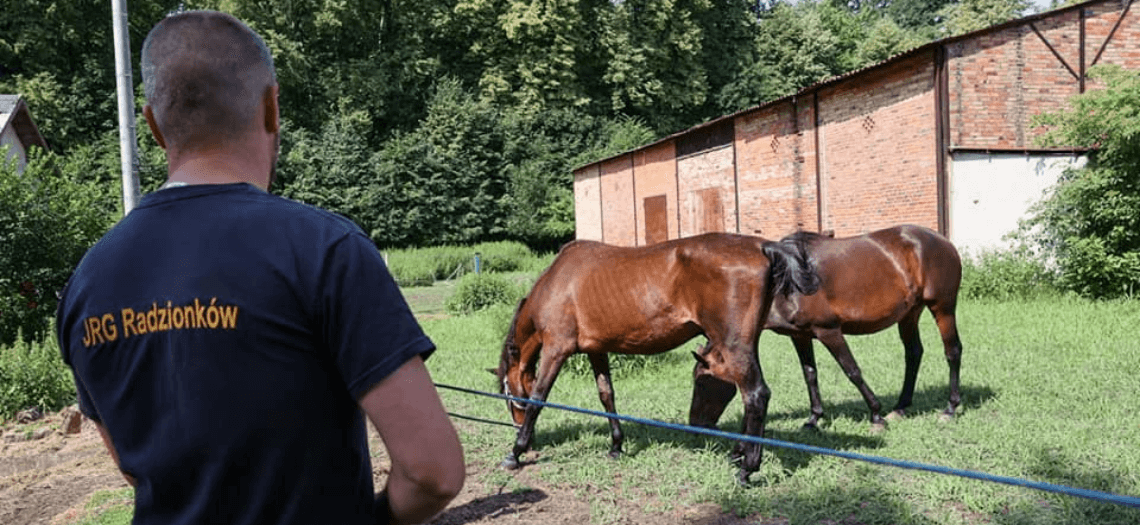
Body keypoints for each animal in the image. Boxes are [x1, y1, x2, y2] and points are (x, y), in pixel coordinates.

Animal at [688, 223, 966, 432]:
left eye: (702, 381)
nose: (695, 424)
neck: (787, 281)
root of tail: (942, 241)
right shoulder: (800, 336)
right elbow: (810, 374)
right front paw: (814, 419)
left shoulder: (829, 331)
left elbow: (852, 370)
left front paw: (876, 416)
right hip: (910, 313)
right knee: (914, 353)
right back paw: (900, 407)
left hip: (943, 307)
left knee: (952, 351)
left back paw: (950, 408)